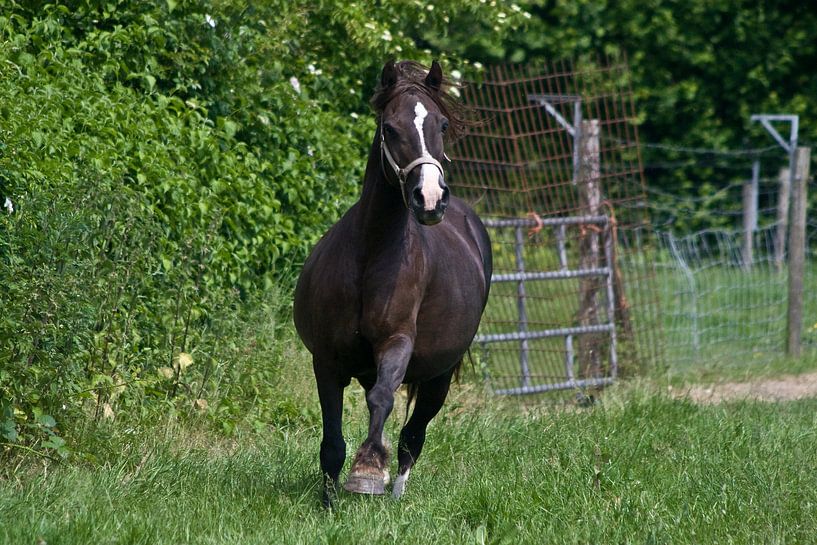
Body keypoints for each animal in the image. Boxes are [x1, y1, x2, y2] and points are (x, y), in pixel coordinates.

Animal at [293, 60, 492, 506]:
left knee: (412, 437)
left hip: (439, 377)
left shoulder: (397, 341)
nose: (430, 198)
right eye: (390, 127)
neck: (369, 256)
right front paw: (328, 503)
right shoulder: (326, 361)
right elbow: (331, 442)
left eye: (441, 124)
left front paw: (367, 473)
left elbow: (381, 398)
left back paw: (396, 492)